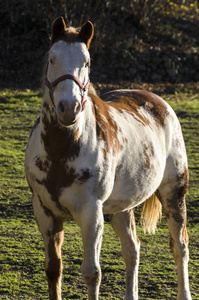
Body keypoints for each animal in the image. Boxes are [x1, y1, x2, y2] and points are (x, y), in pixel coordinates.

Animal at [24, 17, 191, 300]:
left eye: (87, 62)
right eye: (52, 58)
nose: (68, 108)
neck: (63, 150)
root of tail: (159, 103)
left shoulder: (92, 212)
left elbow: (92, 273)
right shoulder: (45, 211)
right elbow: (53, 269)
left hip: (173, 194)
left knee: (179, 247)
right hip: (123, 207)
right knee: (132, 249)